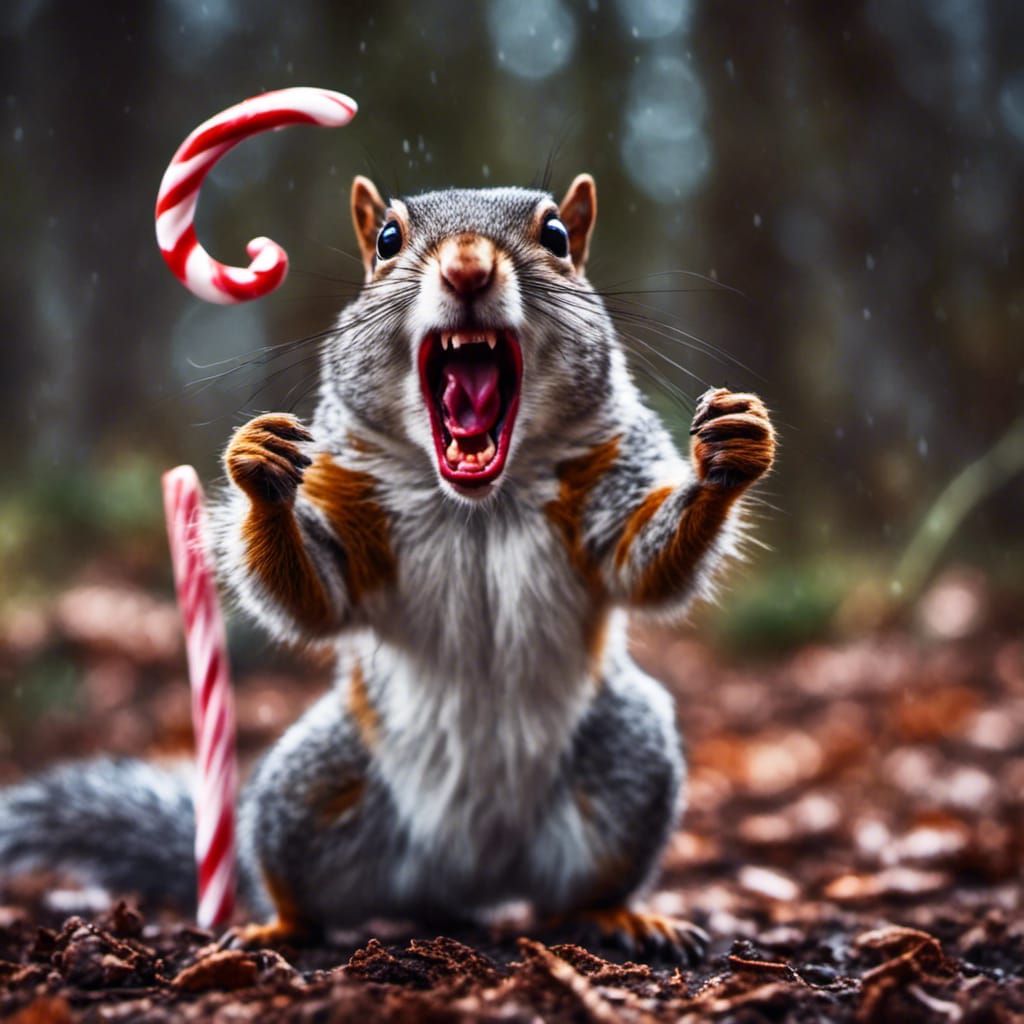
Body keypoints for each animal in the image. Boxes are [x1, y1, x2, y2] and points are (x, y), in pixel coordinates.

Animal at [0, 174, 774, 960]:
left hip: (628, 762)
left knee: (584, 887)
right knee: (292, 880)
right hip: (307, 792)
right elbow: (323, 594)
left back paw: (622, 917)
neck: (479, 503)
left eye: (557, 237)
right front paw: (260, 465)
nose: (467, 268)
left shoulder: (610, 474)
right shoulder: (350, 499)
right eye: (387, 241)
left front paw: (730, 452)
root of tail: (471, 878)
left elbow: (638, 564)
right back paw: (275, 925)